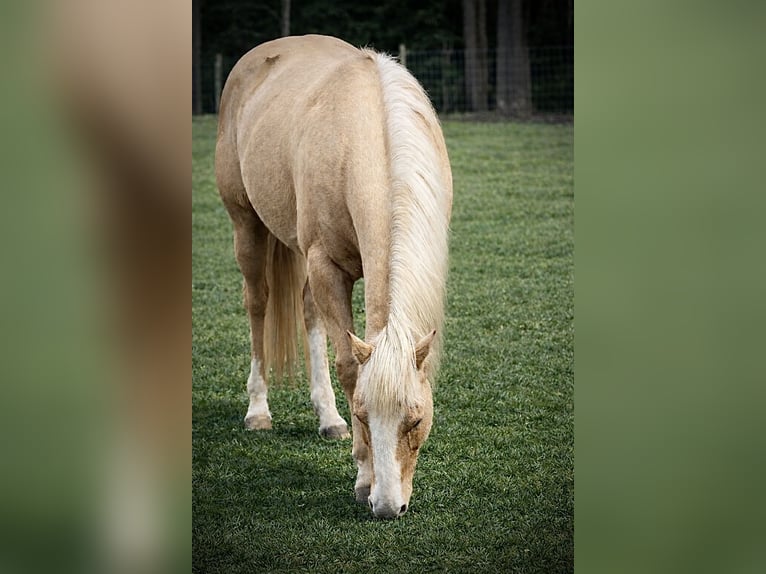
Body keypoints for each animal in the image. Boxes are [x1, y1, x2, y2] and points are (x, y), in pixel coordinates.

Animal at [215, 35, 452, 519]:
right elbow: (347, 366)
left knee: (308, 314)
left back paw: (327, 418)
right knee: (258, 304)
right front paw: (363, 478)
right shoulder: (327, 266)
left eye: (416, 419)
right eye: (363, 415)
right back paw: (258, 411)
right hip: (247, 226)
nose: (388, 507)